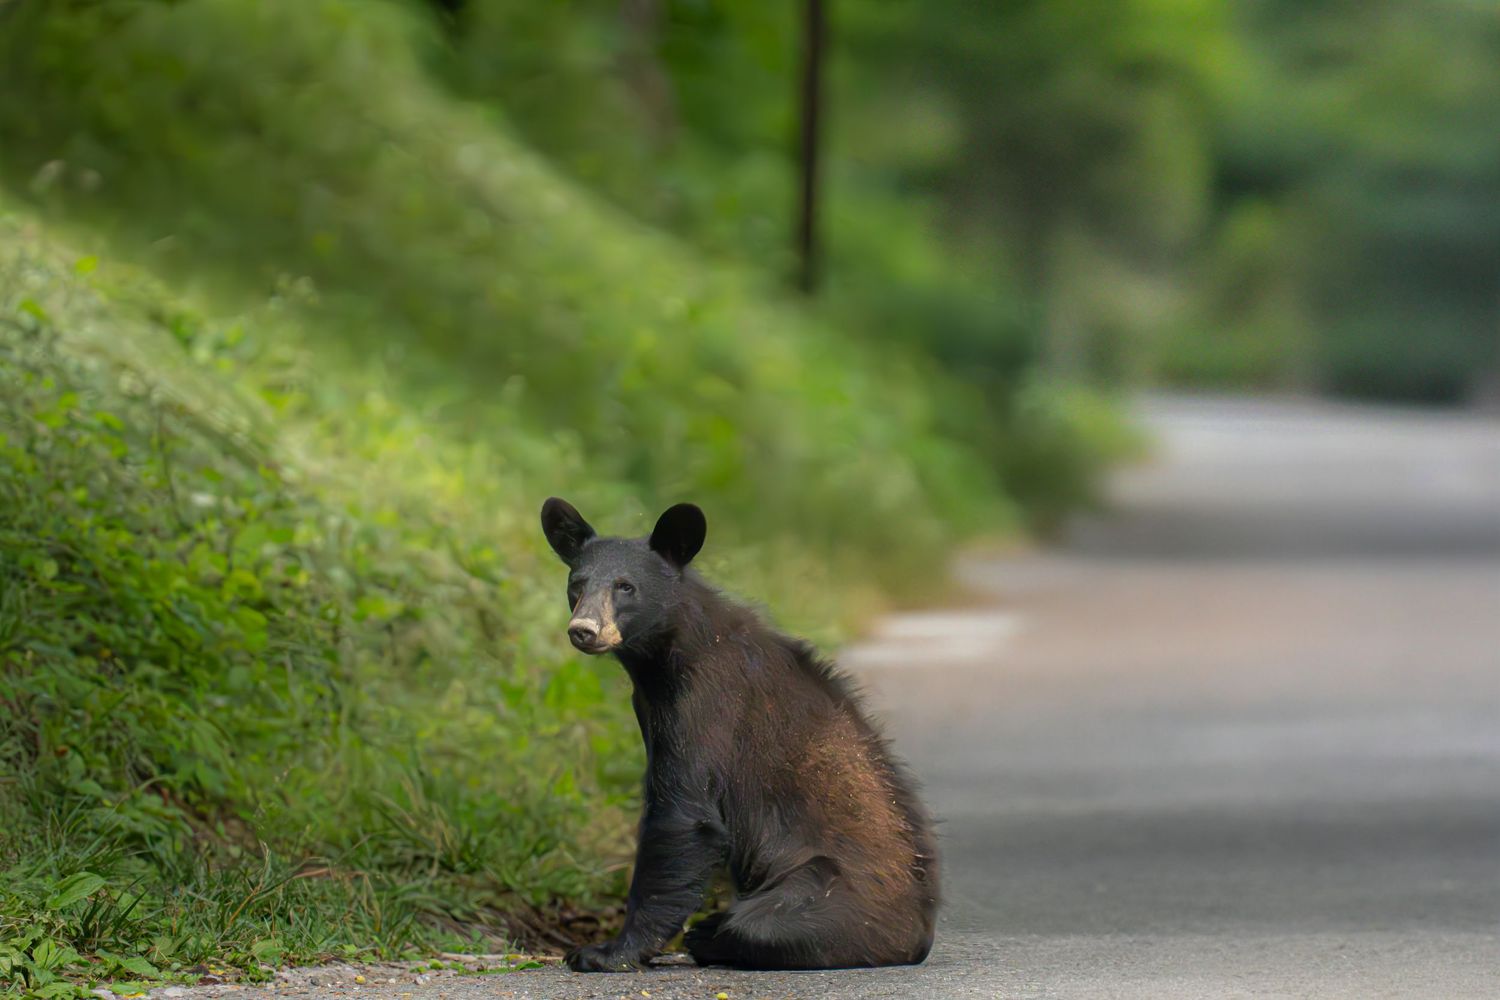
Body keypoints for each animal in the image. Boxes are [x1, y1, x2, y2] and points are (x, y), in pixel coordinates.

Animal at [539, 497, 938, 972]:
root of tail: (920, 933)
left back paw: (710, 935)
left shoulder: (707, 705)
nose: (584, 629)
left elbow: (684, 815)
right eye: (576, 584)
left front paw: (606, 951)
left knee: (759, 924)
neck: (666, 656)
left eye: (625, 587)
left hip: (835, 894)